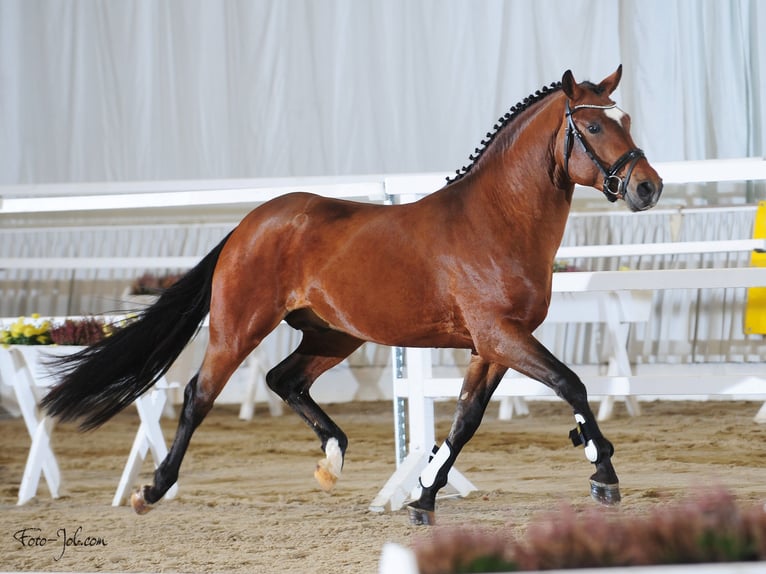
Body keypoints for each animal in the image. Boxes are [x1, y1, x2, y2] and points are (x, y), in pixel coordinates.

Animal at [42, 67, 664, 528]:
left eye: (627, 119)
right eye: (593, 126)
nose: (648, 187)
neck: (495, 222)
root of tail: (250, 224)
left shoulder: (490, 347)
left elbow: (465, 420)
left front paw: (423, 499)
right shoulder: (500, 335)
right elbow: (570, 383)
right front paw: (602, 472)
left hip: (332, 334)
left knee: (286, 380)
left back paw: (333, 457)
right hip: (238, 327)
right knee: (200, 394)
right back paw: (152, 490)